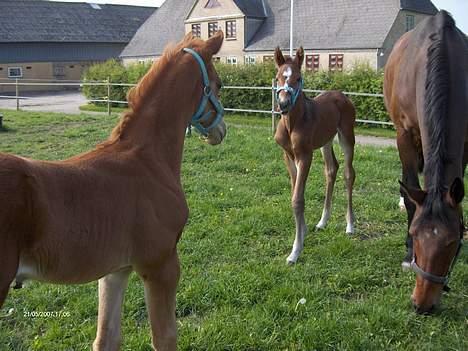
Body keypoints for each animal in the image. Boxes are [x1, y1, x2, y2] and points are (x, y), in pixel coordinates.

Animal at [0, 31, 227, 350]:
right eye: (218, 84)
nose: (221, 132)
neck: (147, 159)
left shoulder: (115, 271)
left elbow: (106, 337)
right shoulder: (160, 265)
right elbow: (165, 337)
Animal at [272, 48, 356, 266]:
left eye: (298, 78)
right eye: (278, 77)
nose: (283, 103)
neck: (292, 123)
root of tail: (341, 95)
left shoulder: (305, 156)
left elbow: (297, 199)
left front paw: (295, 251)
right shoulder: (288, 156)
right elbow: (295, 193)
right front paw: (303, 232)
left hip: (346, 137)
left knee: (348, 174)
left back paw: (350, 225)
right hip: (325, 142)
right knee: (331, 170)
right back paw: (323, 221)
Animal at [386, 11, 466, 314]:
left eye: (453, 242)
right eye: (414, 232)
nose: (422, 304)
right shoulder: (405, 135)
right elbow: (411, 195)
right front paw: (408, 253)